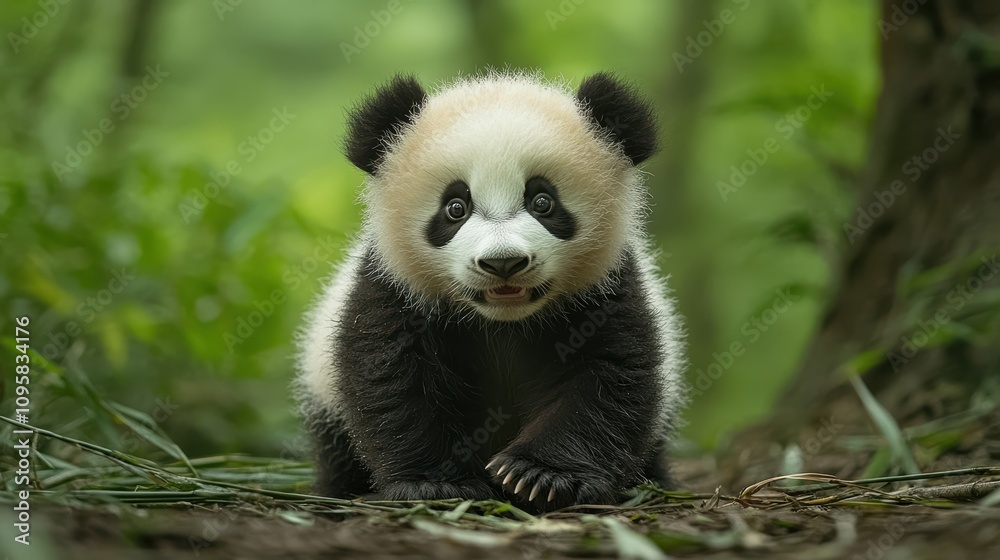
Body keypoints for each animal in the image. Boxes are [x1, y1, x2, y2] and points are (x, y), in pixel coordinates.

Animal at [295, 70, 685, 510]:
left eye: (543, 202)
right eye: (455, 207)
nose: (503, 263)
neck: (503, 322)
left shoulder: (604, 290)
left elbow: (608, 376)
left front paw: (542, 477)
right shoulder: (394, 287)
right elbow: (392, 378)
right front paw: (438, 484)